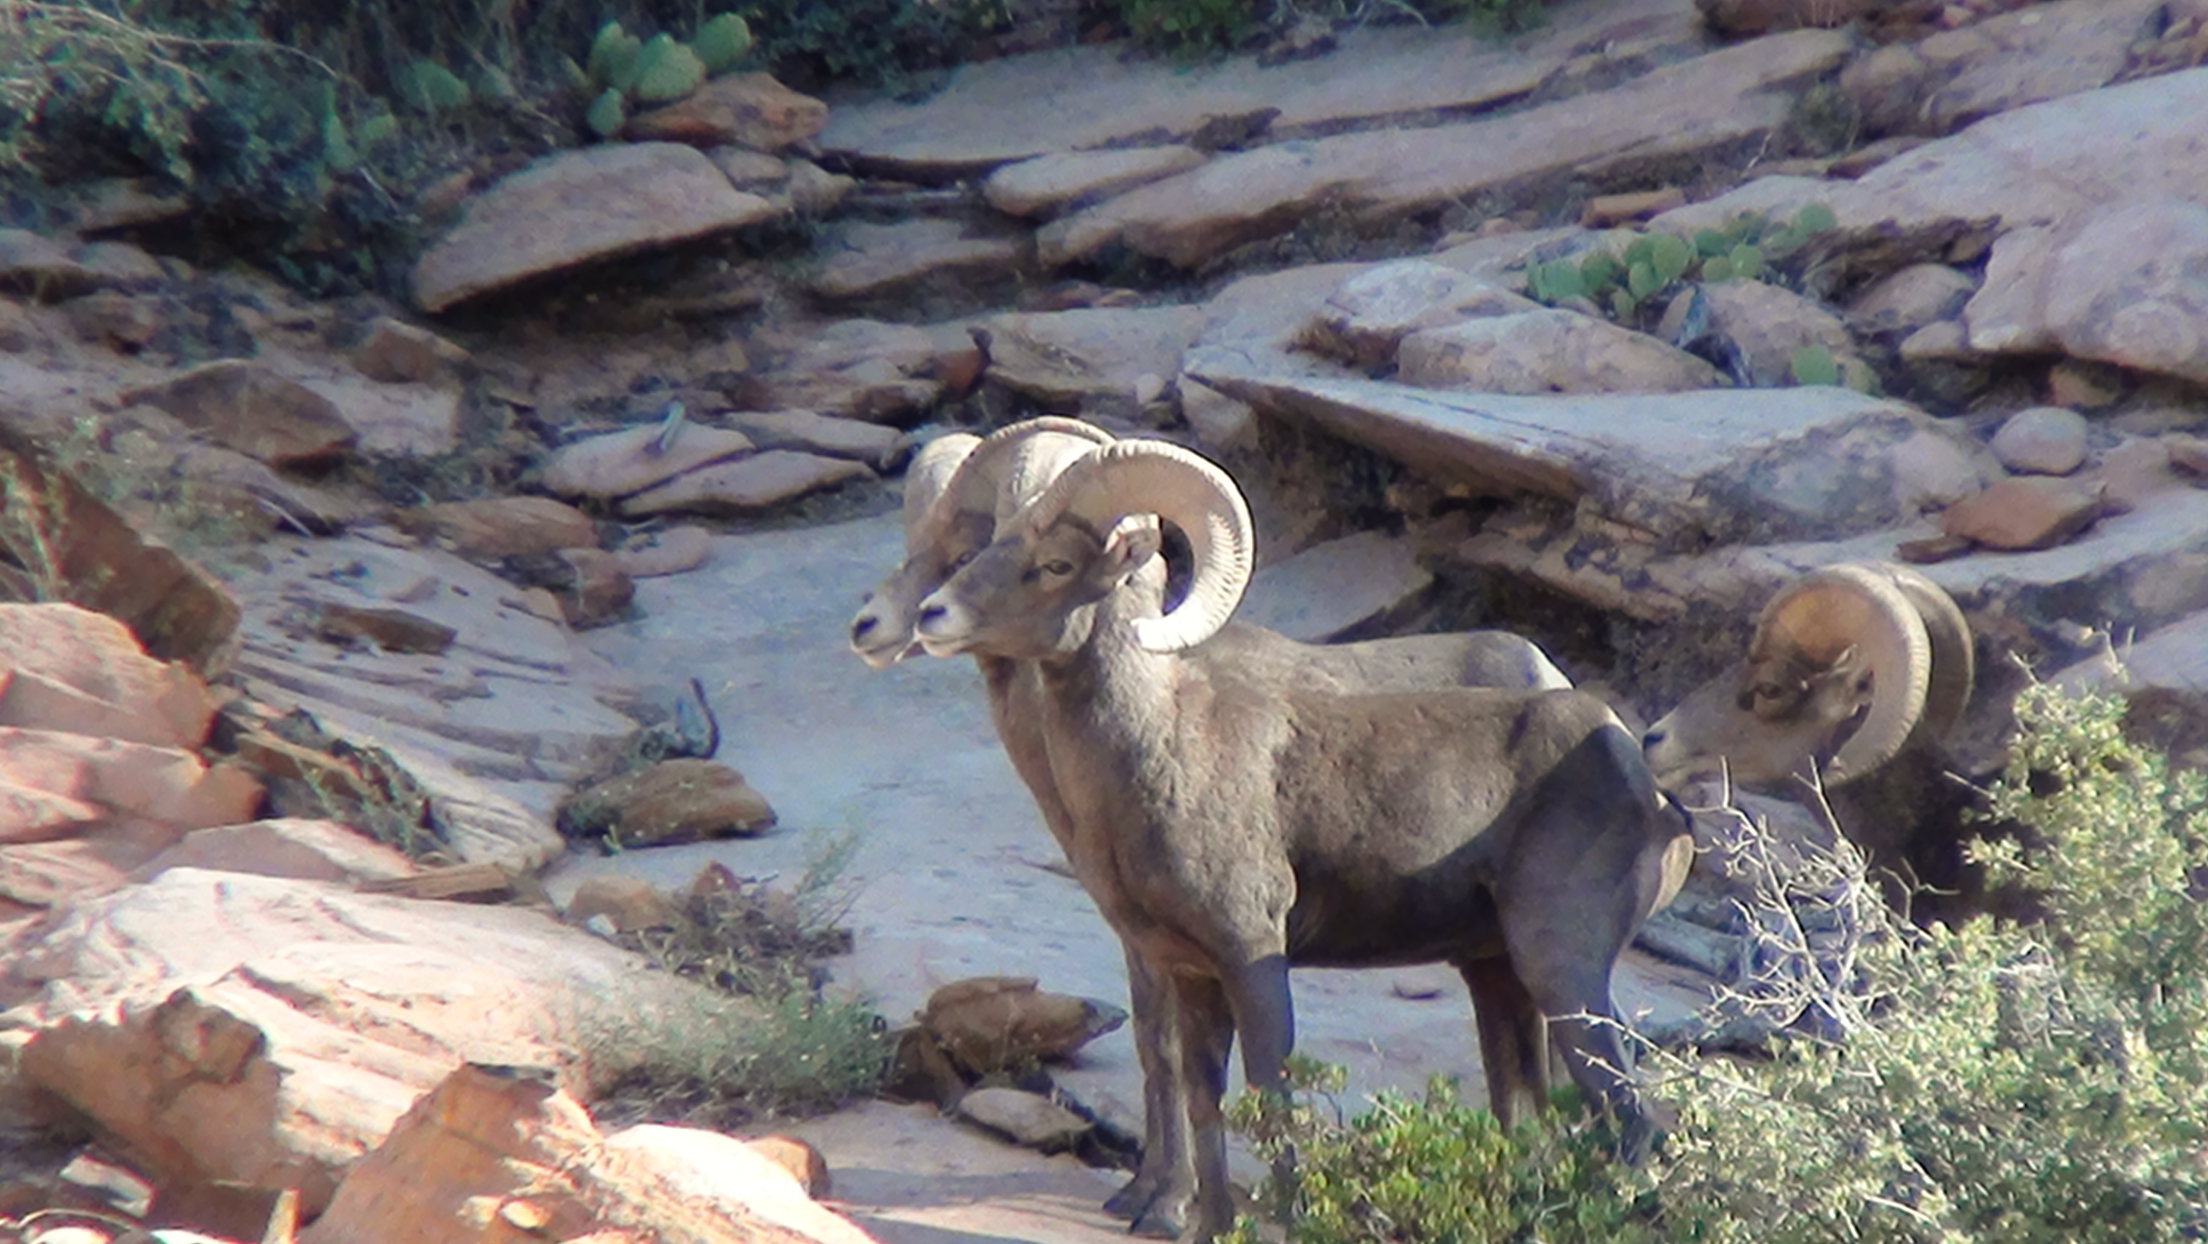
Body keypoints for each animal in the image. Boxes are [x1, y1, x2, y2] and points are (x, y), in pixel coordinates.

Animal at [914, 435, 1686, 1244]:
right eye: (992, 545)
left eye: (1058, 565)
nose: (934, 614)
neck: (1159, 743)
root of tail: (1646, 790)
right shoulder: (1191, 972)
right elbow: (1206, 1098)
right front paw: (1207, 1225)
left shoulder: (1252, 957)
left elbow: (1271, 1099)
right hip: (1497, 973)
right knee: (1532, 1113)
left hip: (1562, 971)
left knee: (1629, 1118)